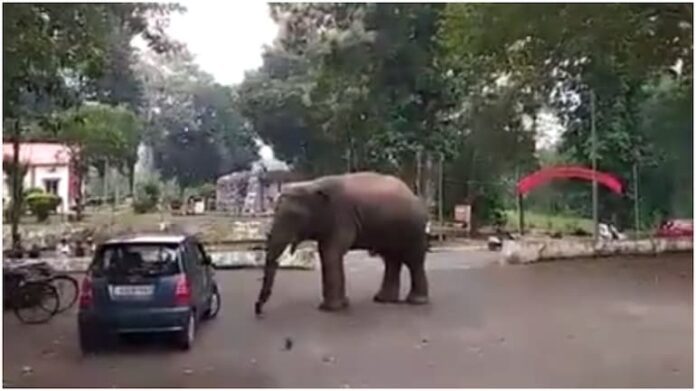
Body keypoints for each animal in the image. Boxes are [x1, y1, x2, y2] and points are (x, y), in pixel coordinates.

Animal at [256, 172, 430, 316]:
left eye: (293, 216)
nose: (258, 309)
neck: (313, 184)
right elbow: (325, 252)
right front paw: (342, 304)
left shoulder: (342, 217)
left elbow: (330, 252)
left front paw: (330, 309)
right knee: (391, 259)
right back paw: (383, 299)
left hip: (414, 229)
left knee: (413, 260)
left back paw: (416, 301)